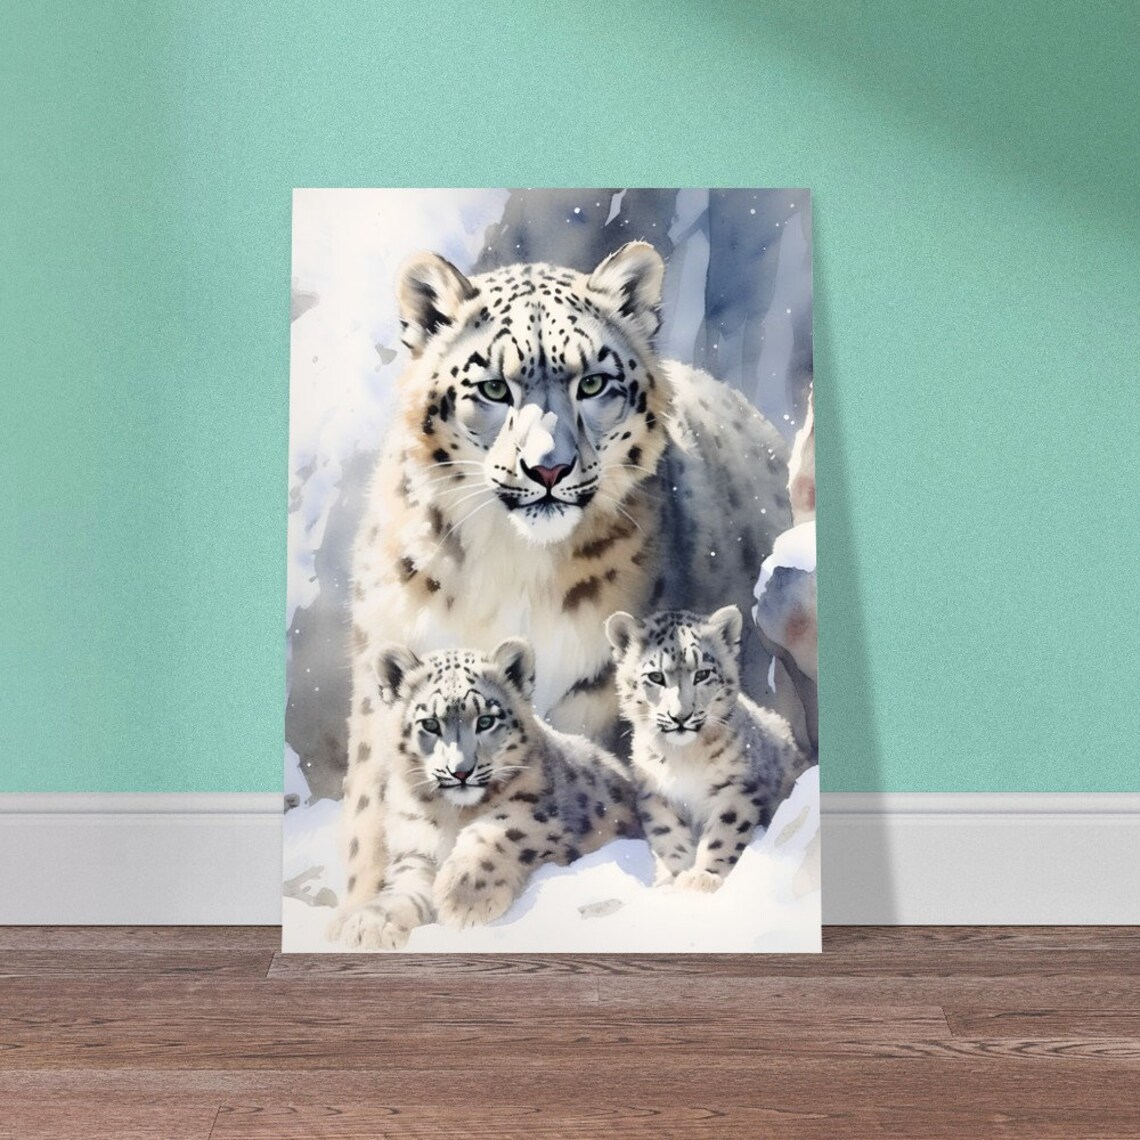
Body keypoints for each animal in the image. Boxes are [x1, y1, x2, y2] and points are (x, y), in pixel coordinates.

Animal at [329, 638, 639, 949]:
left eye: (486, 720)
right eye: (430, 724)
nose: (460, 771)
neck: (449, 815)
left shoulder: (538, 813)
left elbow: (498, 831)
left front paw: (464, 897)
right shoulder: (414, 848)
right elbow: (404, 886)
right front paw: (370, 925)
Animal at [605, 604, 809, 893]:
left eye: (702, 674)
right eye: (655, 676)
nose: (680, 716)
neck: (682, 757)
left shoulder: (736, 788)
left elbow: (723, 834)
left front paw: (703, 877)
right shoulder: (656, 794)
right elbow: (669, 836)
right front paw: (673, 879)